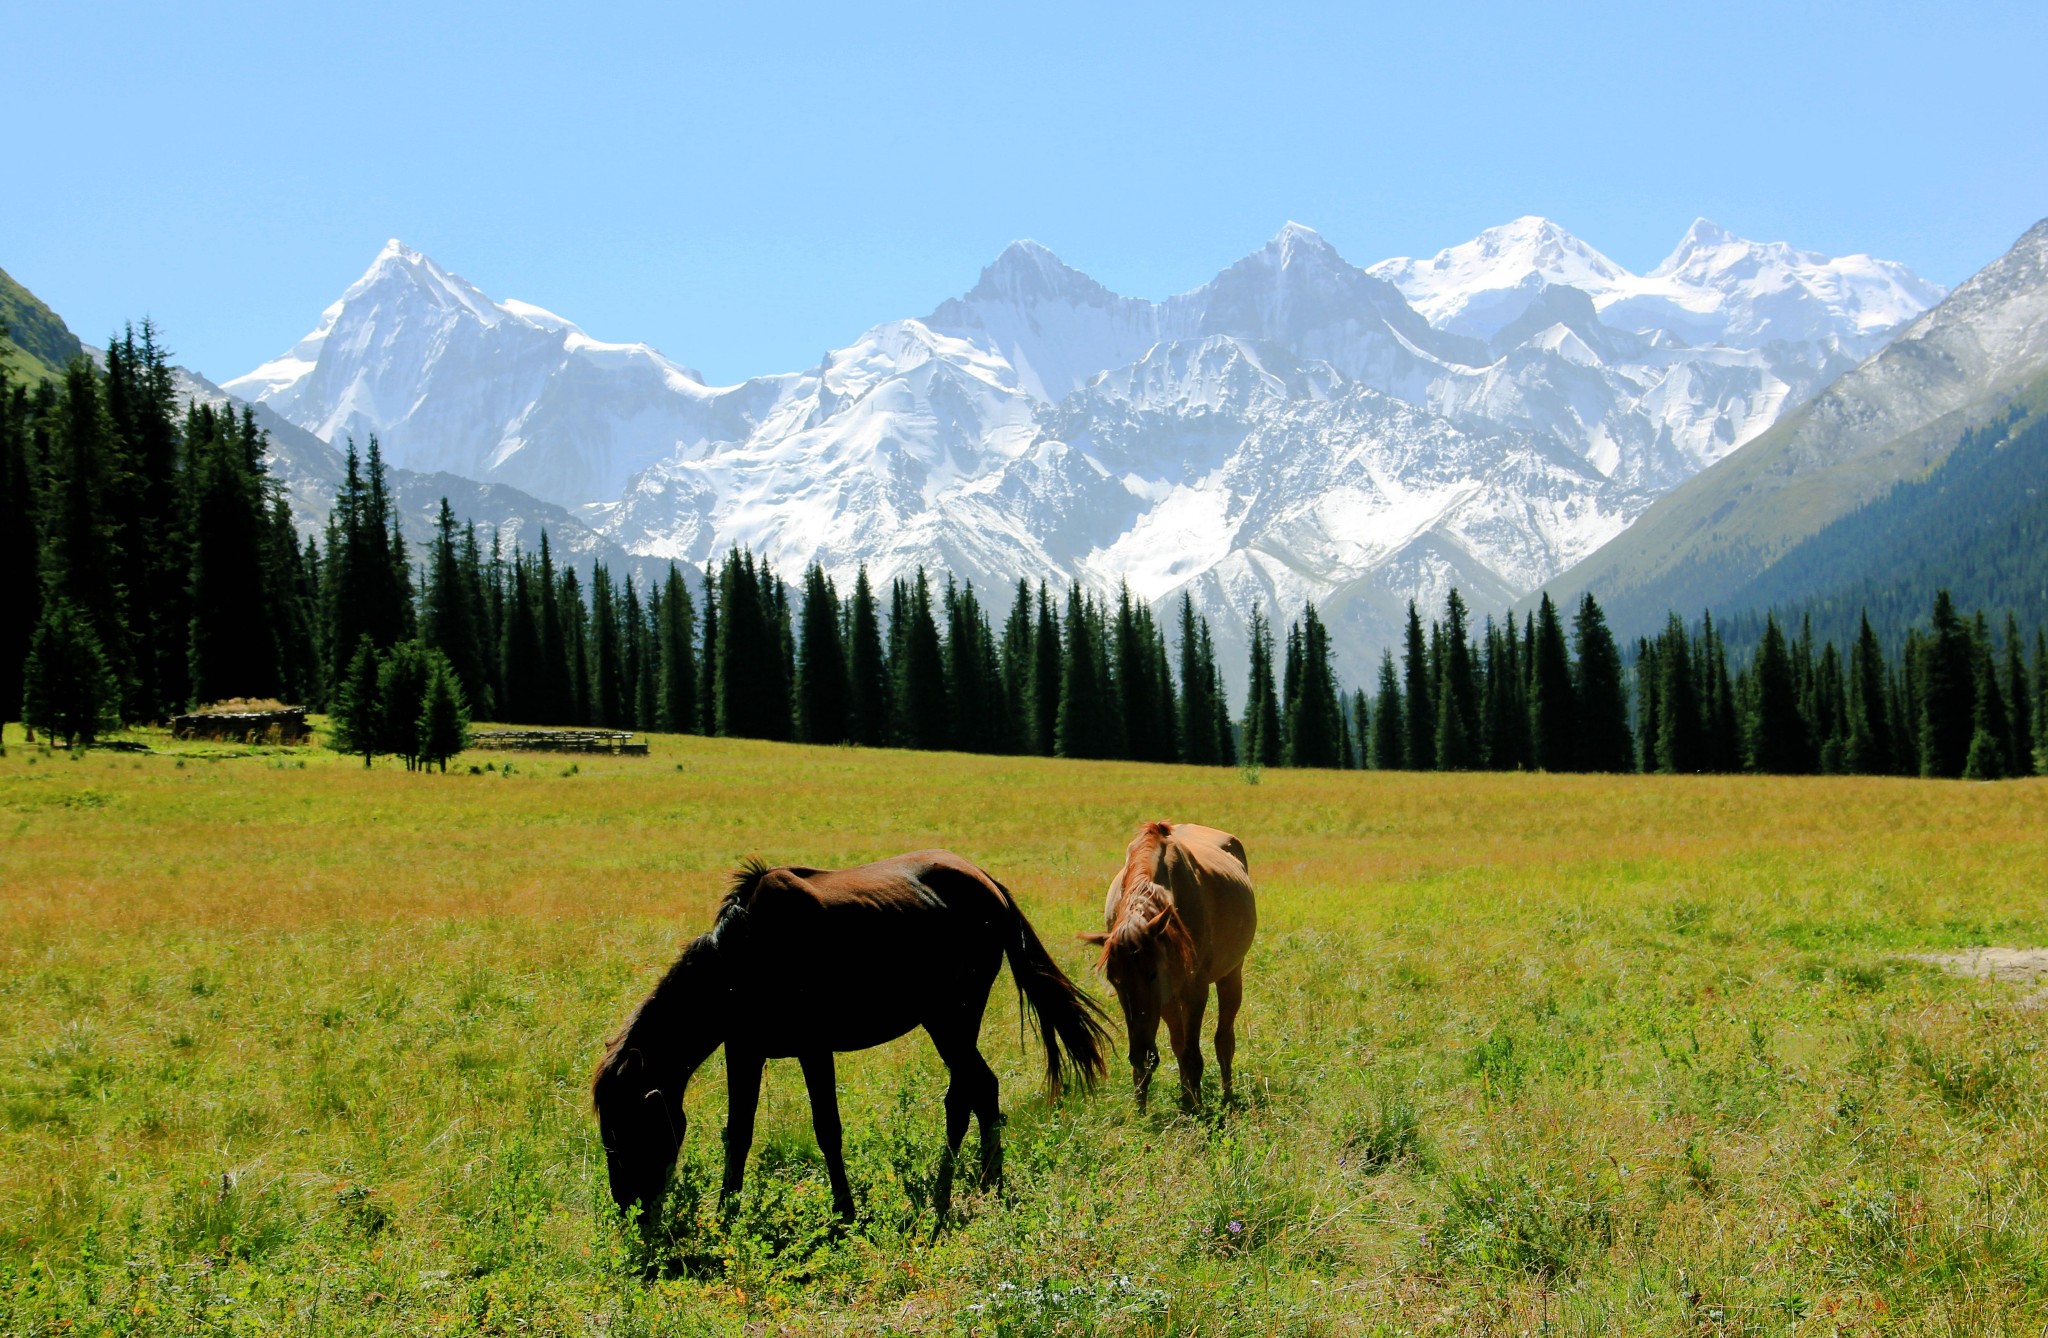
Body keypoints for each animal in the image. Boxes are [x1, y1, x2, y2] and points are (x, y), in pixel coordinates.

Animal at [593, 850, 1109, 1236]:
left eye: (625, 1129)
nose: (630, 1213)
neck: (742, 960)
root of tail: (988, 883)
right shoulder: (744, 1051)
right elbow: (737, 1134)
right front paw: (727, 1215)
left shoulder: (813, 1048)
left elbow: (827, 1129)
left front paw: (845, 1211)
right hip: (949, 1023)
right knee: (969, 1093)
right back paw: (968, 1183)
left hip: (951, 1018)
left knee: (976, 1089)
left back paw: (971, 1187)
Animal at [1081, 822, 1256, 1110]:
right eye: (1115, 980)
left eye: (1152, 974)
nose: (1141, 1053)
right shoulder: (1164, 996)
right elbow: (1175, 1052)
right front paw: (1141, 1111)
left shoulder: (1194, 990)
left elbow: (1193, 1055)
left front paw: (1197, 1111)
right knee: (1180, 1044)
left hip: (1231, 975)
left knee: (1224, 1040)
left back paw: (1226, 1097)